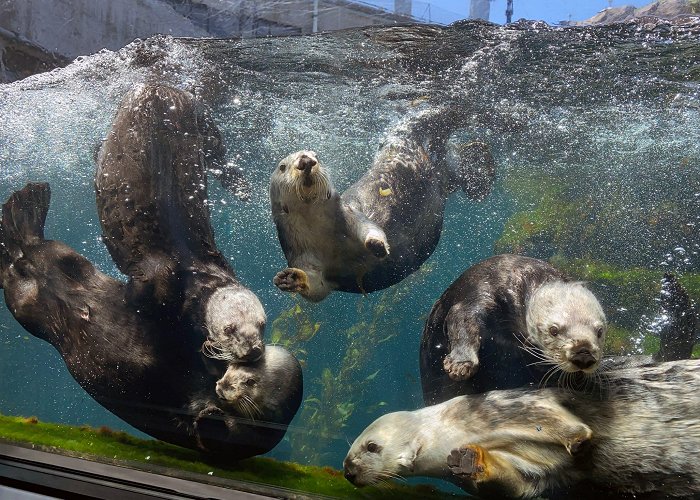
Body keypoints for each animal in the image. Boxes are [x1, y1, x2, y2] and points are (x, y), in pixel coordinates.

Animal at [95, 83, 266, 364]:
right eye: (229, 329)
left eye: (262, 324)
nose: (253, 349)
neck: (194, 275)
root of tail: (161, 86)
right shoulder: (159, 275)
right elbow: (137, 295)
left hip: (204, 122)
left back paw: (242, 189)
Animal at [270, 107, 498, 300]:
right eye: (282, 166)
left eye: (317, 155)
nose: (306, 160)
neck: (323, 233)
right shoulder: (301, 254)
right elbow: (317, 289)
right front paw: (291, 279)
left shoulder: (350, 215)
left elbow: (369, 228)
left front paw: (377, 245)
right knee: (456, 164)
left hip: (407, 140)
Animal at [344, 360, 700, 500]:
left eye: (370, 447)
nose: (347, 471)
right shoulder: (534, 470)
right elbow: (520, 484)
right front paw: (468, 462)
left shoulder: (510, 407)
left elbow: (559, 419)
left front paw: (579, 439)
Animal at [422, 256, 608, 404]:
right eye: (553, 330)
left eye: (600, 332)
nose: (583, 354)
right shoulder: (482, 290)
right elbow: (462, 319)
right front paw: (461, 364)